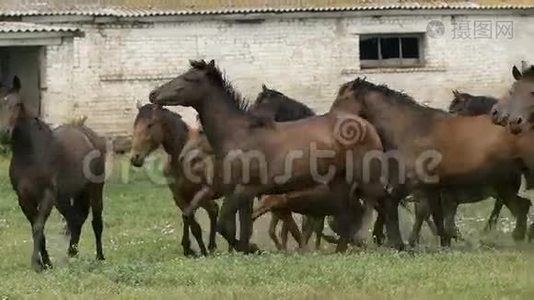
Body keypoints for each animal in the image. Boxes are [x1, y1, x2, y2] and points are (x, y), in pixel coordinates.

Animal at [0, 77, 106, 272]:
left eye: (17, 104)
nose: (4, 134)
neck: (31, 154)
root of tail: (91, 136)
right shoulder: (24, 199)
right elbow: (37, 228)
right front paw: (46, 263)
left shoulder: (47, 195)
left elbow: (38, 226)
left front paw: (37, 263)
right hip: (64, 198)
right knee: (75, 220)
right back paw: (72, 255)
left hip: (94, 190)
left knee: (96, 222)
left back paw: (99, 257)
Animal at [131, 102, 221, 255]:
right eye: (135, 124)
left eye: (150, 124)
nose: (135, 158)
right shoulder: (179, 195)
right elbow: (189, 219)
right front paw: (189, 249)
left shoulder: (200, 193)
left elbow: (190, 219)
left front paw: (199, 250)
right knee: (214, 210)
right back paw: (212, 246)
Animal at [149, 59, 400, 252]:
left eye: (189, 79)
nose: (153, 94)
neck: (238, 134)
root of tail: (367, 125)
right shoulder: (234, 190)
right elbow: (231, 224)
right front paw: (244, 249)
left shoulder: (245, 190)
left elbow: (226, 225)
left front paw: (250, 248)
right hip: (340, 184)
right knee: (347, 216)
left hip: (367, 179)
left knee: (384, 204)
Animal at [338, 77, 532, 246]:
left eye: (343, 98)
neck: (408, 127)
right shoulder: (431, 188)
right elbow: (434, 214)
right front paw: (444, 241)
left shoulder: (419, 186)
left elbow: (420, 211)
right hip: (502, 187)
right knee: (521, 206)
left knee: (519, 206)